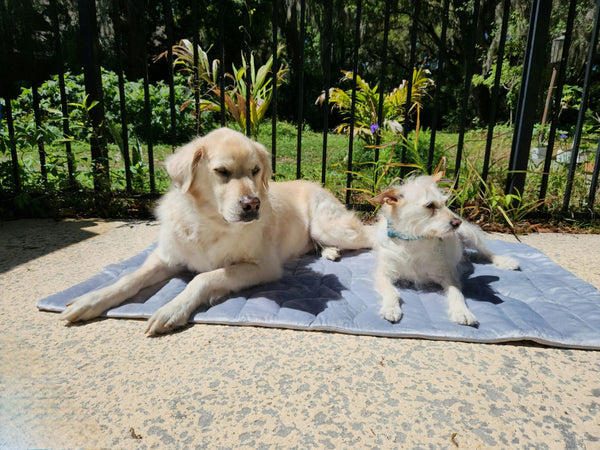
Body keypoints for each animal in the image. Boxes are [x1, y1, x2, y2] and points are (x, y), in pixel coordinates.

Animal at [368, 172, 516, 326]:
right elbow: (391, 291)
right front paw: (391, 308)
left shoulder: (448, 275)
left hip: (470, 235)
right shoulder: (384, 273)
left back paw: (504, 261)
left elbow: (456, 293)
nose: (457, 221)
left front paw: (462, 312)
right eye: (430, 205)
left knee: (485, 251)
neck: (413, 241)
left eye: (445, 203)